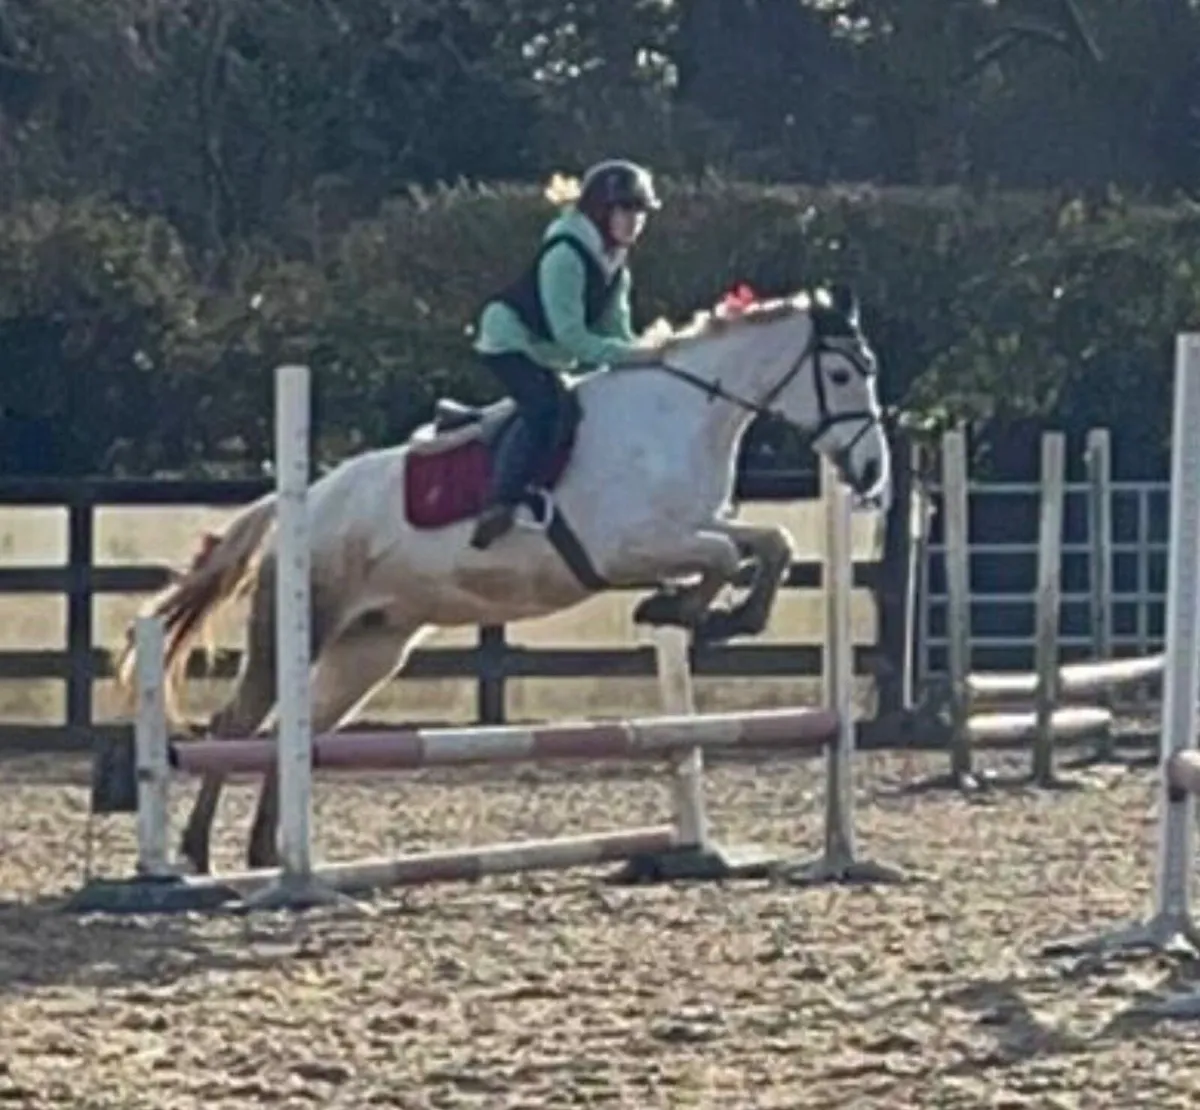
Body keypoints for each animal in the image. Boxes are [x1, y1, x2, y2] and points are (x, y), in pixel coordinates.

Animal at [120, 283, 893, 874]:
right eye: (844, 375)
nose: (871, 473)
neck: (679, 420)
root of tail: (298, 503)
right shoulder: (631, 547)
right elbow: (731, 558)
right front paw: (689, 611)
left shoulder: (692, 529)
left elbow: (770, 543)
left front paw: (702, 614)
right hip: (300, 626)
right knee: (237, 725)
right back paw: (196, 856)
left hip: (371, 649)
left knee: (294, 729)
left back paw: (264, 855)